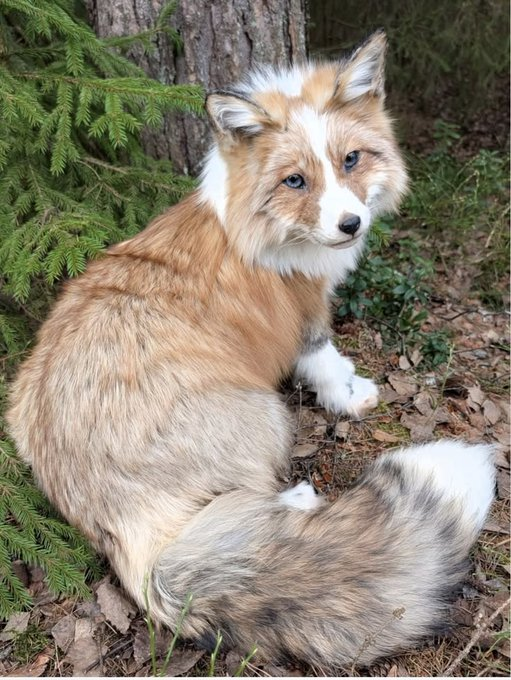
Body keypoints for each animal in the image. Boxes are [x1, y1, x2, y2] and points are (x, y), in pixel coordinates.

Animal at [7, 31, 495, 669]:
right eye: (295, 181)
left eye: (351, 160)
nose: (351, 224)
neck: (262, 231)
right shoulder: (305, 317)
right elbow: (326, 363)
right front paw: (351, 397)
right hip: (266, 415)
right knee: (252, 499)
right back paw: (298, 501)